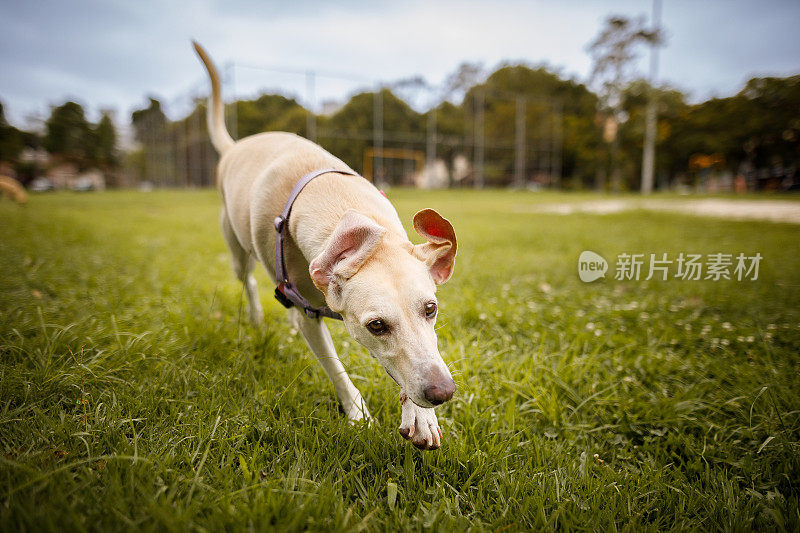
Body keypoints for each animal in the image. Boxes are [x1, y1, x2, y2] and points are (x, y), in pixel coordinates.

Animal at [192, 42, 456, 448]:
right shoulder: (314, 317)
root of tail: (236, 146)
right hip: (237, 249)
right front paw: (359, 415)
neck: (337, 203)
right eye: (376, 326)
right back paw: (256, 317)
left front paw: (421, 418)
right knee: (250, 281)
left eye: (431, 309)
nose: (443, 392)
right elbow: (334, 366)